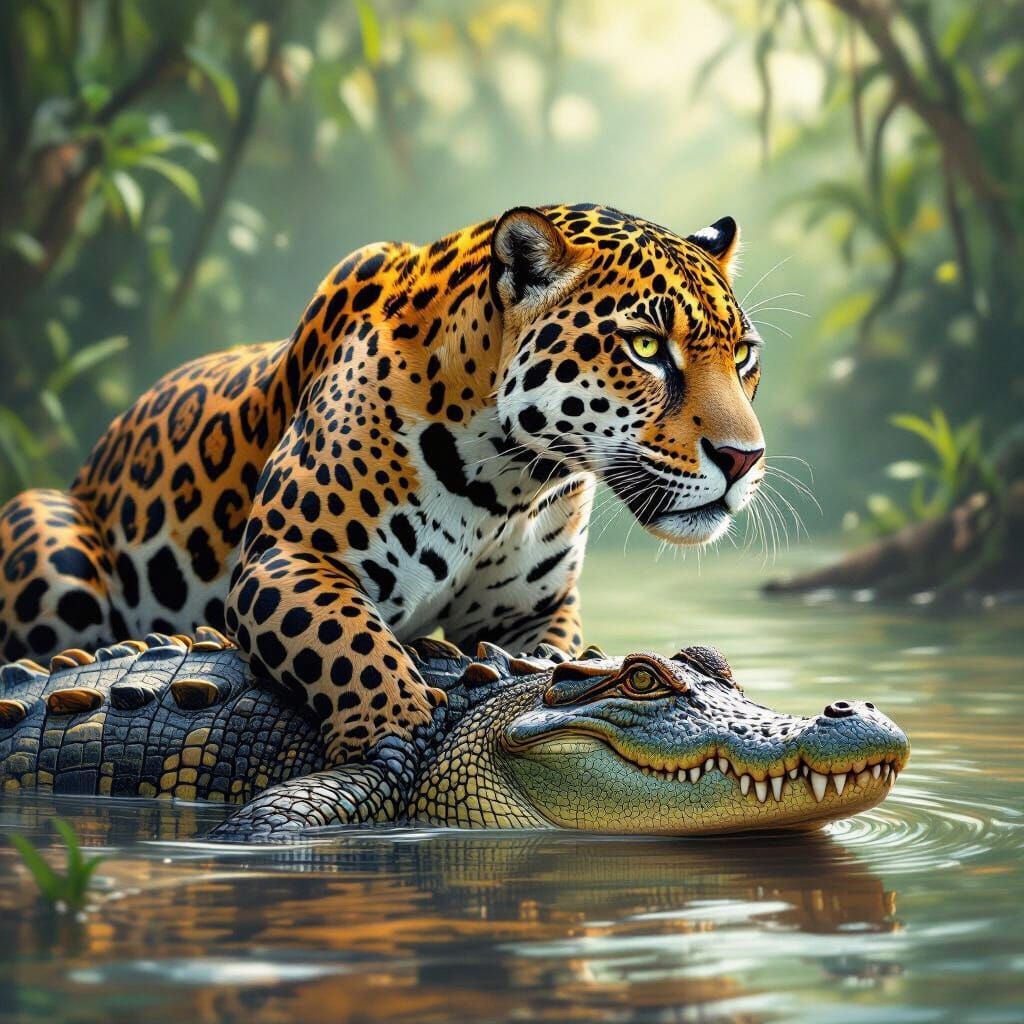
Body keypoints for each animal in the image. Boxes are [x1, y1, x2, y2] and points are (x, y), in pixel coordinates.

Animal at [0, 203, 766, 766]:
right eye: (646, 347)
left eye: (744, 356)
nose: (744, 458)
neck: (511, 478)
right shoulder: (285, 558)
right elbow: (351, 645)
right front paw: (394, 732)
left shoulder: (534, 611)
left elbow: (545, 666)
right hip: (50, 542)